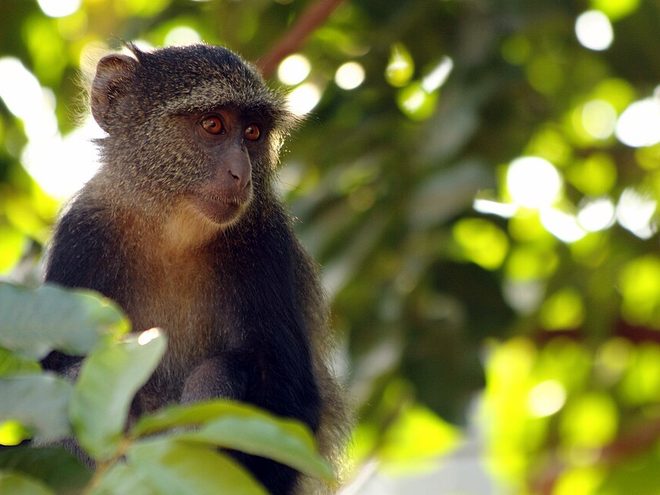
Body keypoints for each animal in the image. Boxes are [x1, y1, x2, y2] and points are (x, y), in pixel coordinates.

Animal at [40, 43, 346, 495]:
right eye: (213, 125)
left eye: (252, 133)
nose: (242, 173)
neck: (172, 233)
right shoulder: (81, 236)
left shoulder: (264, 243)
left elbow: (292, 396)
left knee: (219, 369)